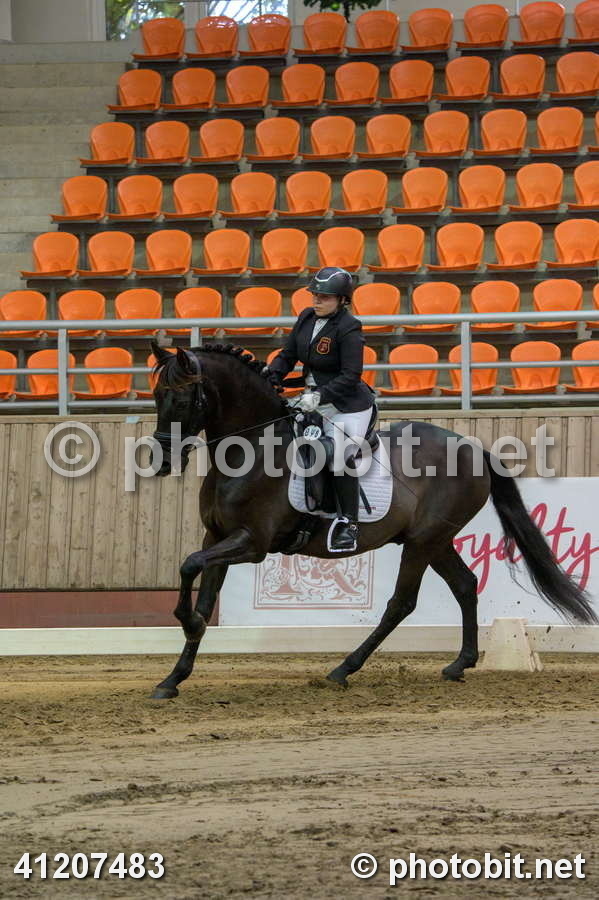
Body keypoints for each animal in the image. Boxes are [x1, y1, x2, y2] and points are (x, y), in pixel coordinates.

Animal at [149, 343, 597, 699]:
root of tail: (471, 446)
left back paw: (343, 670)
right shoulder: (216, 537)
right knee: (465, 585)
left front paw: (185, 624)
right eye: (155, 397)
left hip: (422, 542)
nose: (163, 461)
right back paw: (459, 664)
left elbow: (188, 566)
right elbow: (203, 594)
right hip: (435, 540)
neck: (252, 451)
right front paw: (173, 678)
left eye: (184, 401)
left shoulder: (252, 543)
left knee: (401, 603)